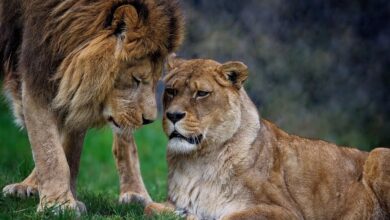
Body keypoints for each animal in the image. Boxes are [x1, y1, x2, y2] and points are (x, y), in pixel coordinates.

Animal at [0, 0, 183, 214]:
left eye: (155, 81)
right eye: (136, 79)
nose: (148, 120)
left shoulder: (78, 86)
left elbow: (68, 151)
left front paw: (64, 201)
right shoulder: (40, 67)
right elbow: (49, 149)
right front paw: (58, 204)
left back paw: (137, 195)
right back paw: (27, 186)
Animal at [147, 57, 390, 220]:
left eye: (202, 94)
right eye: (171, 91)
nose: (173, 115)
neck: (198, 160)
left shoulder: (285, 212)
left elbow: (229, 217)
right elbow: (149, 207)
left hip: (378, 154)